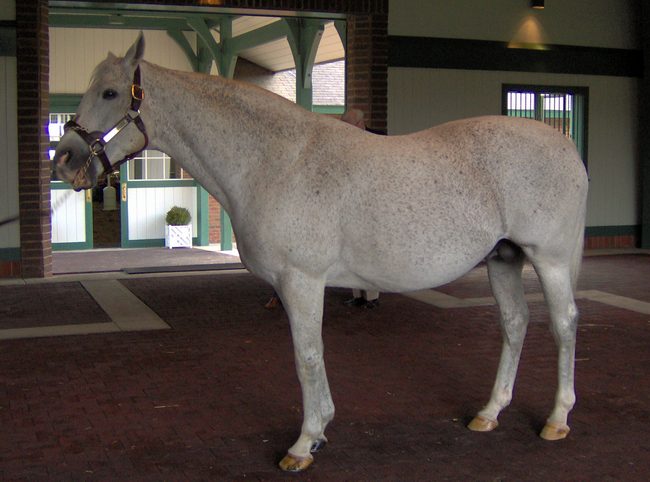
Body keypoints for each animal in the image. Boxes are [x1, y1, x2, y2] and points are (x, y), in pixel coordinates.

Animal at [53, 34, 588, 472]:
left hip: (549, 259)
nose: (65, 160)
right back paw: (489, 412)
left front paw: (305, 443)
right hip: (503, 258)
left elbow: (307, 356)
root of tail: (566, 147)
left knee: (563, 325)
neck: (276, 161)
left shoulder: (301, 281)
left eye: (110, 93)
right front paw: (318, 434)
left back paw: (558, 419)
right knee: (515, 324)